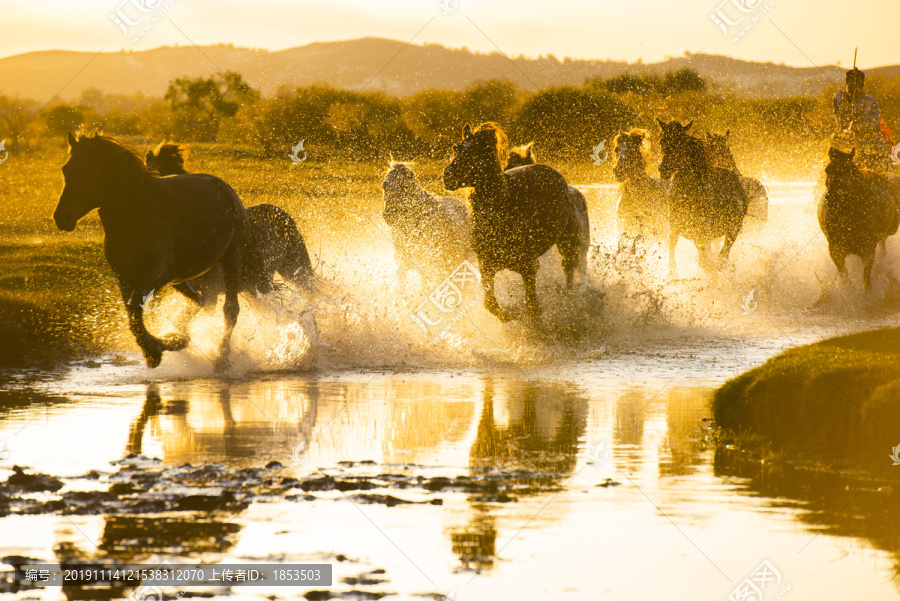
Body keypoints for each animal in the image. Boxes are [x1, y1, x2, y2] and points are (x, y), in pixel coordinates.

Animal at [56, 133, 246, 368]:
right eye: (66, 169)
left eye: (91, 171)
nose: (61, 217)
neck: (134, 216)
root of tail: (224, 187)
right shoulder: (125, 277)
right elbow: (133, 314)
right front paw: (161, 347)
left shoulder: (158, 273)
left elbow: (136, 305)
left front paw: (155, 348)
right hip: (180, 279)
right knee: (199, 300)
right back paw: (180, 338)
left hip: (231, 258)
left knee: (230, 310)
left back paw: (222, 360)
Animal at [444, 119, 592, 322]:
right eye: (456, 147)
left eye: (476, 150)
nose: (448, 175)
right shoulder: (486, 265)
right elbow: (490, 304)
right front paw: (509, 314)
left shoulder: (528, 266)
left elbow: (532, 306)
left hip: (568, 244)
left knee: (569, 270)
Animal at [656, 119, 748, 274]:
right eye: (662, 141)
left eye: (681, 142)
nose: (664, 169)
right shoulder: (675, 228)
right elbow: (672, 255)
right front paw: (672, 274)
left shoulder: (702, 234)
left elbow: (705, 262)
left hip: (733, 230)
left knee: (722, 255)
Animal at [820, 144, 896, 288]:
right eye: (827, 170)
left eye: (847, 171)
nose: (831, 198)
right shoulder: (836, 251)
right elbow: (844, 276)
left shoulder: (868, 252)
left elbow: (866, 282)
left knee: (882, 246)